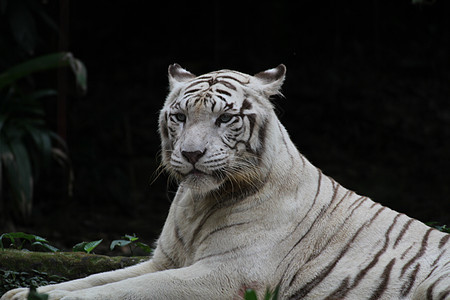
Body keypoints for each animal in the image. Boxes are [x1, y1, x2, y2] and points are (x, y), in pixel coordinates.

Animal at [1, 64, 448, 298]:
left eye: (226, 118)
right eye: (180, 116)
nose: (191, 154)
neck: (198, 203)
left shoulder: (224, 273)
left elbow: (118, 292)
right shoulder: (165, 260)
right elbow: (95, 278)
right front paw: (25, 293)